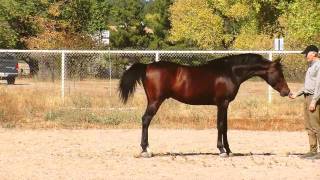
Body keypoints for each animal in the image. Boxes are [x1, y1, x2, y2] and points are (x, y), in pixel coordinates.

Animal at [118, 53, 290, 158]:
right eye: (279, 74)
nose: (287, 92)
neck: (229, 72)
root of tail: (147, 66)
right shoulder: (222, 103)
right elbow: (220, 125)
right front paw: (221, 150)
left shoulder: (225, 105)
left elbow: (225, 127)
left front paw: (229, 150)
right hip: (155, 101)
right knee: (145, 120)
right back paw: (145, 149)